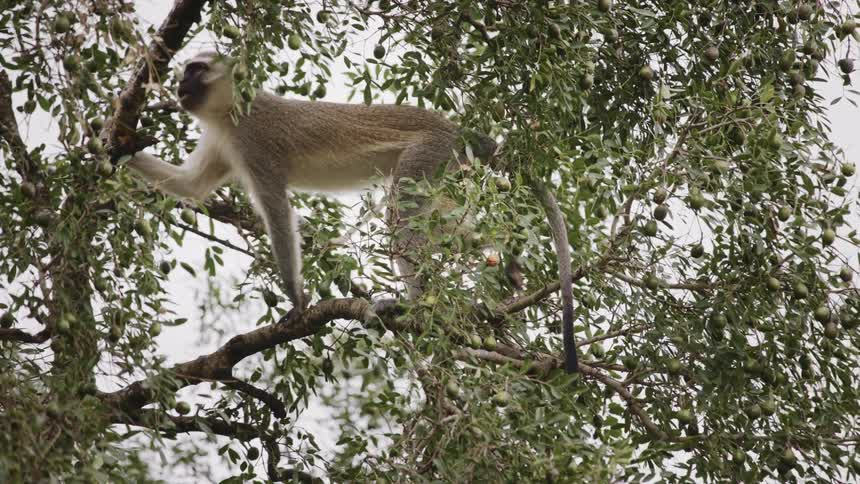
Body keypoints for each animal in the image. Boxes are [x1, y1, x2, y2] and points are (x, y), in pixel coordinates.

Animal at [125, 50, 578, 372]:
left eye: (196, 70)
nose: (179, 85)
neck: (232, 112)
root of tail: (457, 128)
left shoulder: (254, 145)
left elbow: (277, 213)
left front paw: (297, 301)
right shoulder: (222, 143)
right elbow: (190, 186)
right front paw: (113, 146)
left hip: (429, 154)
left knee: (402, 223)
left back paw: (417, 305)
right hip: (448, 166)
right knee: (443, 223)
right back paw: (508, 253)